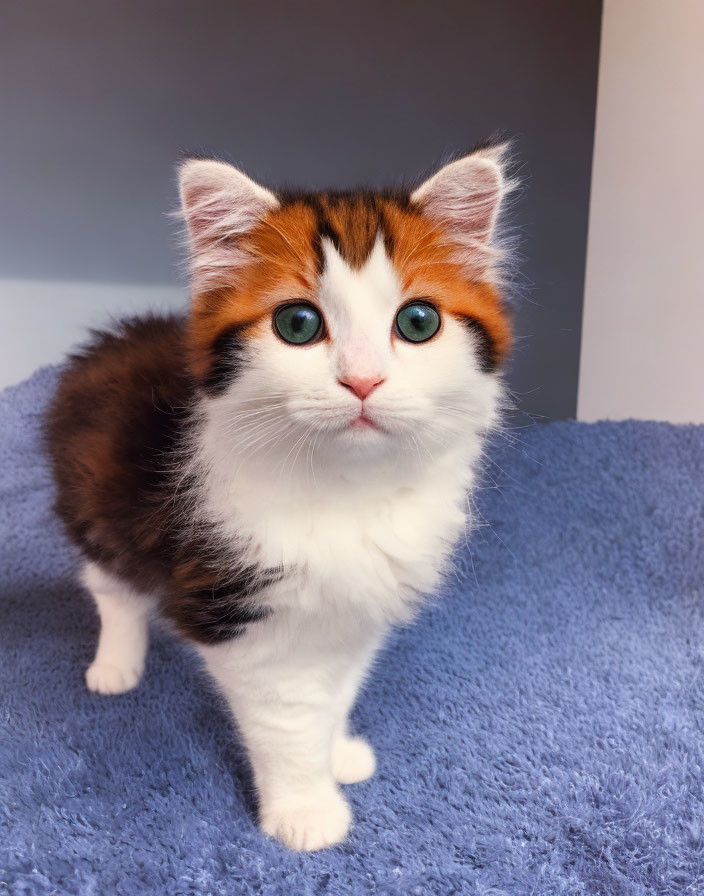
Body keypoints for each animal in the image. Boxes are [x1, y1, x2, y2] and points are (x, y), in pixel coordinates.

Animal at [48, 144, 512, 852]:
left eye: (418, 322)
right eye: (298, 324)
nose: (363, 380)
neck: (349, 490)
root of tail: (116, 337)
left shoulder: (361, 602)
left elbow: (338, 689)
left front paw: (337, 752)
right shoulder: (236, 605)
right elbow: (288, 718)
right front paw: (305, 809)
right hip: (99, 506)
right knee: (112, 586)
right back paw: (116, 666)